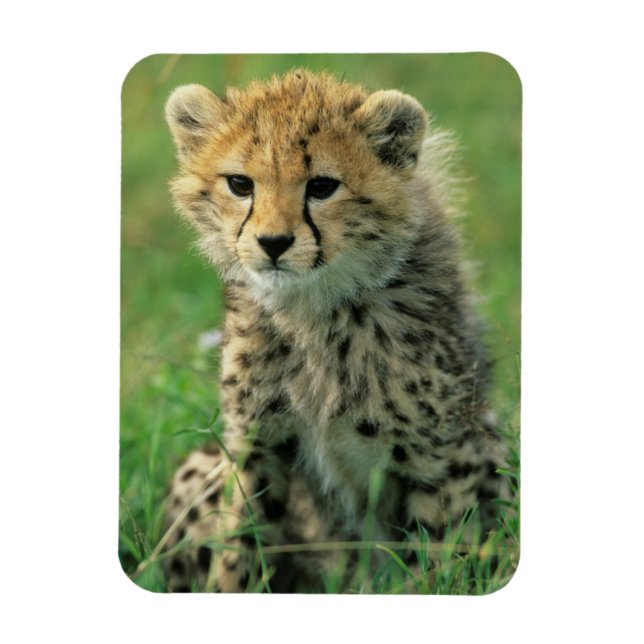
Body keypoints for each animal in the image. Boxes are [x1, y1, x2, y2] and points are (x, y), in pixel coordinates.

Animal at [162, 69, 511, 593]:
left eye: (322, 186)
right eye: (240, 184)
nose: (273, 243)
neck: (314, 309)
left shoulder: (442, 453)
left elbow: (439, 553)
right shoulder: (256, 441)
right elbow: (240, 543)